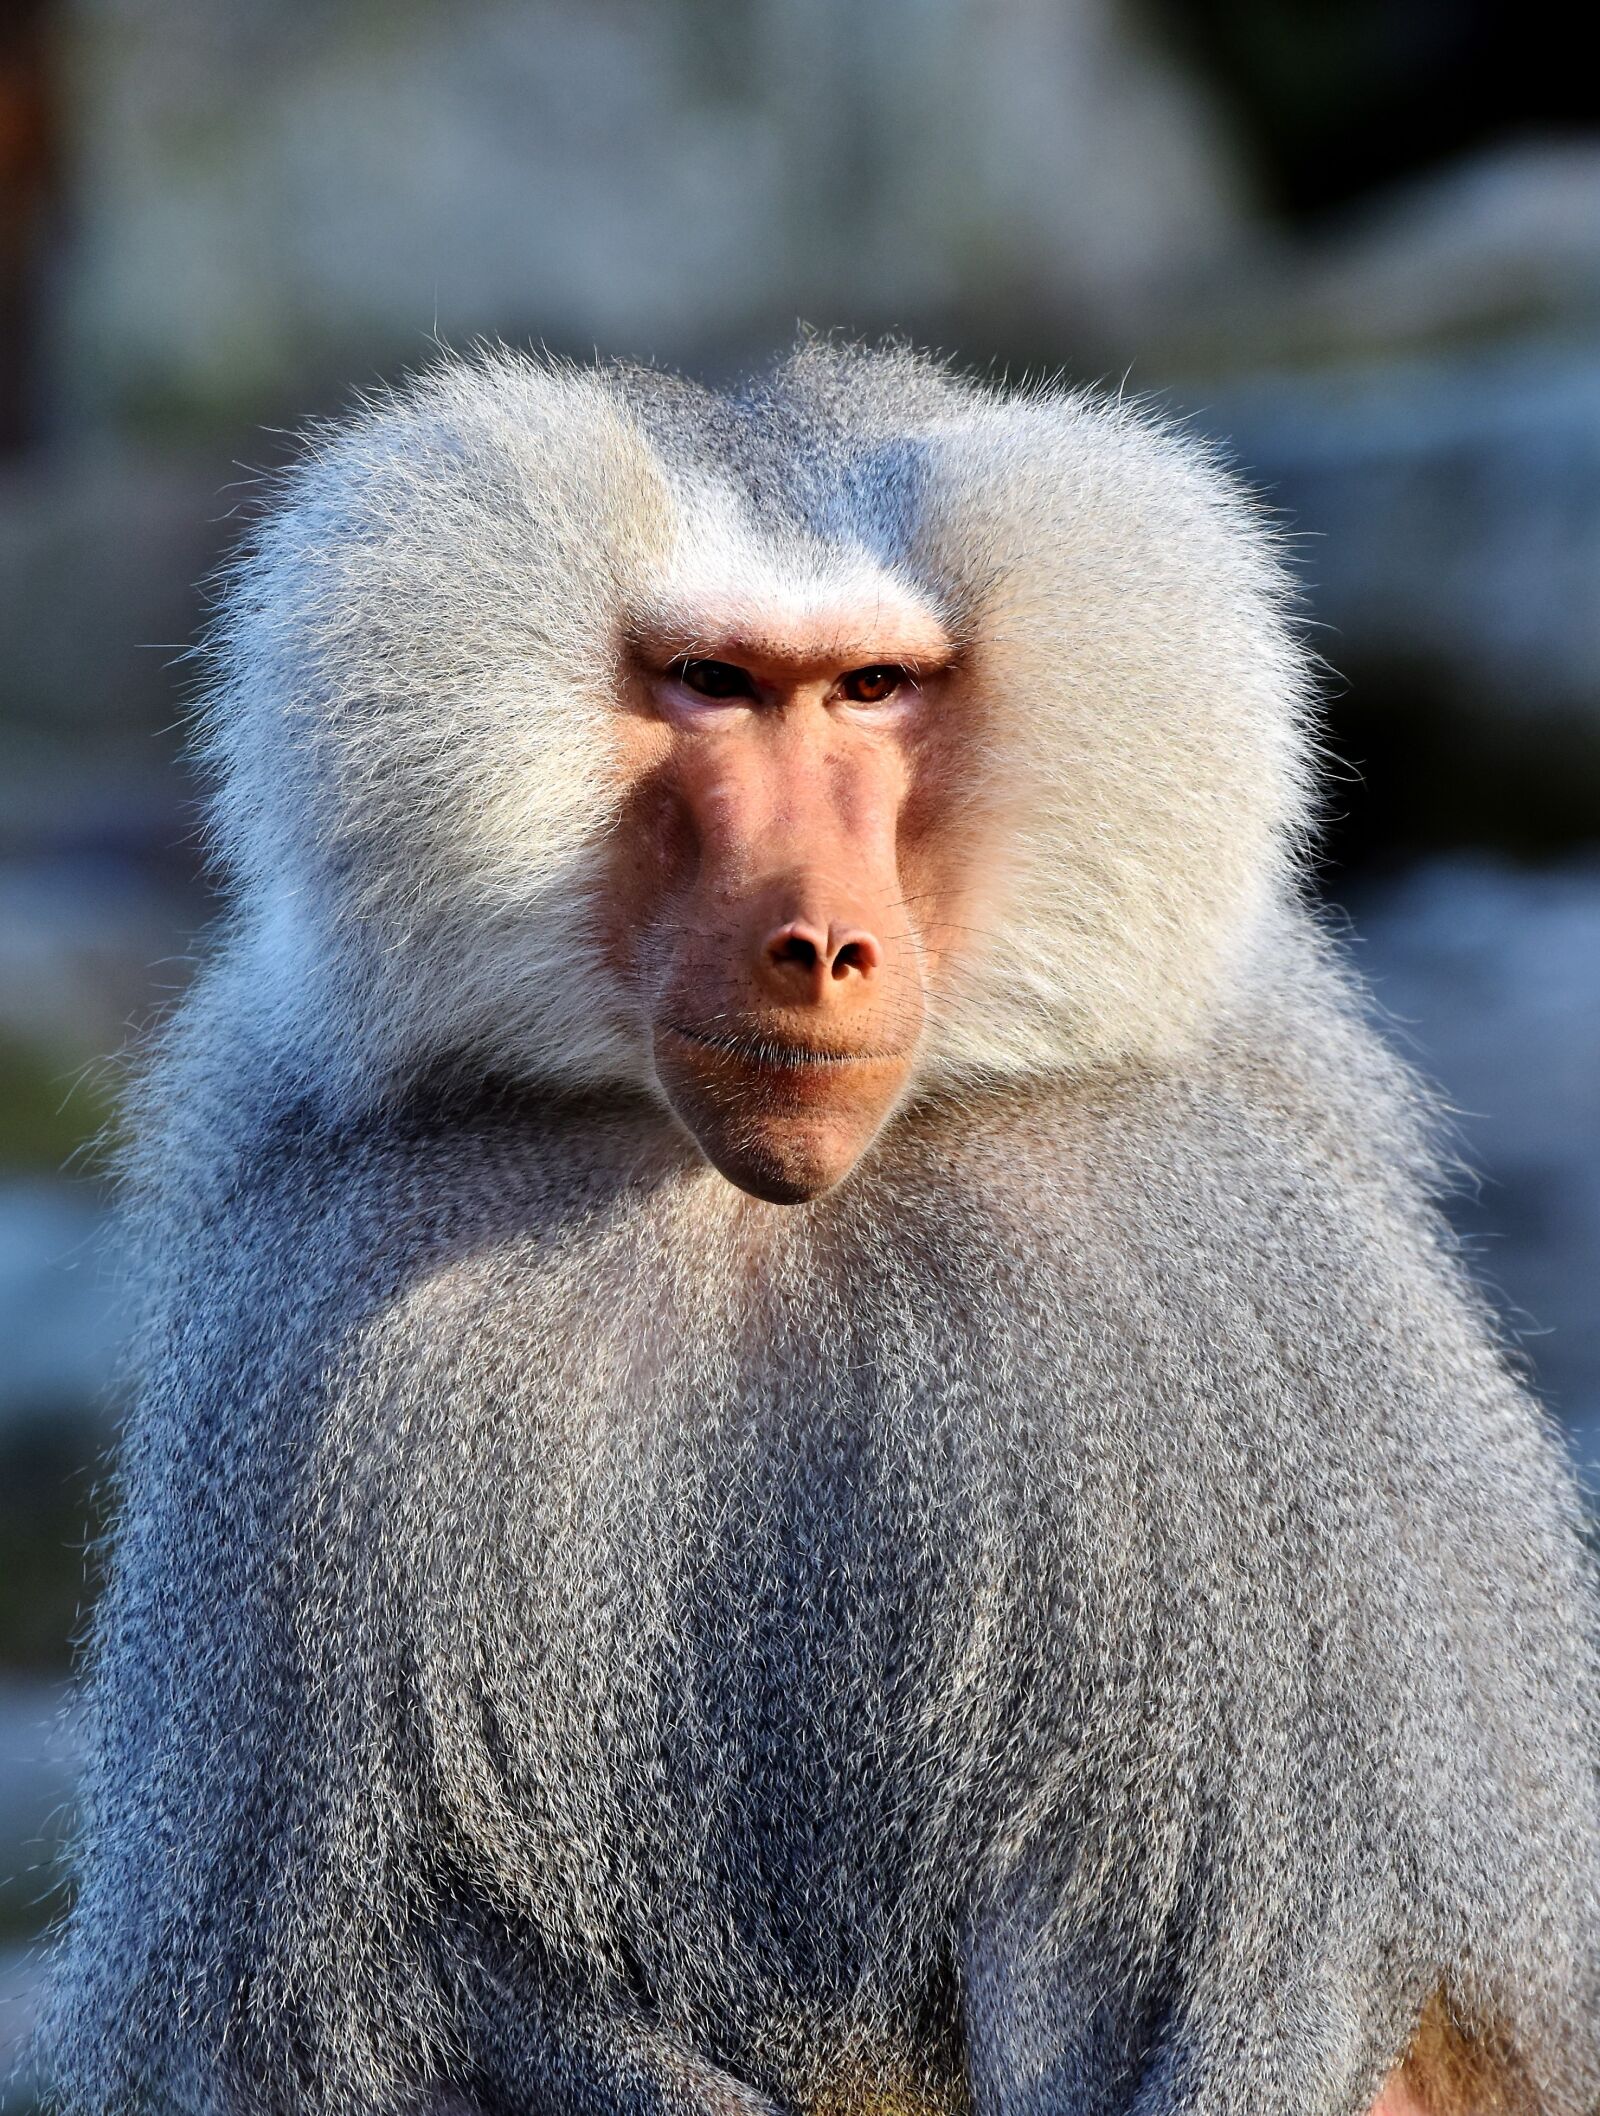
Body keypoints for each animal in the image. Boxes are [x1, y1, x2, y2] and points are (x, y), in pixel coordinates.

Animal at [39, 340, 1600, 2116]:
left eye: (871, 689)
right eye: (715, 682)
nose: (818, 946)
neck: (768, 1219)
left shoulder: (1219, 1312)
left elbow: (1284, 1966)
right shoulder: (330, 1332)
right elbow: (356, 2000)